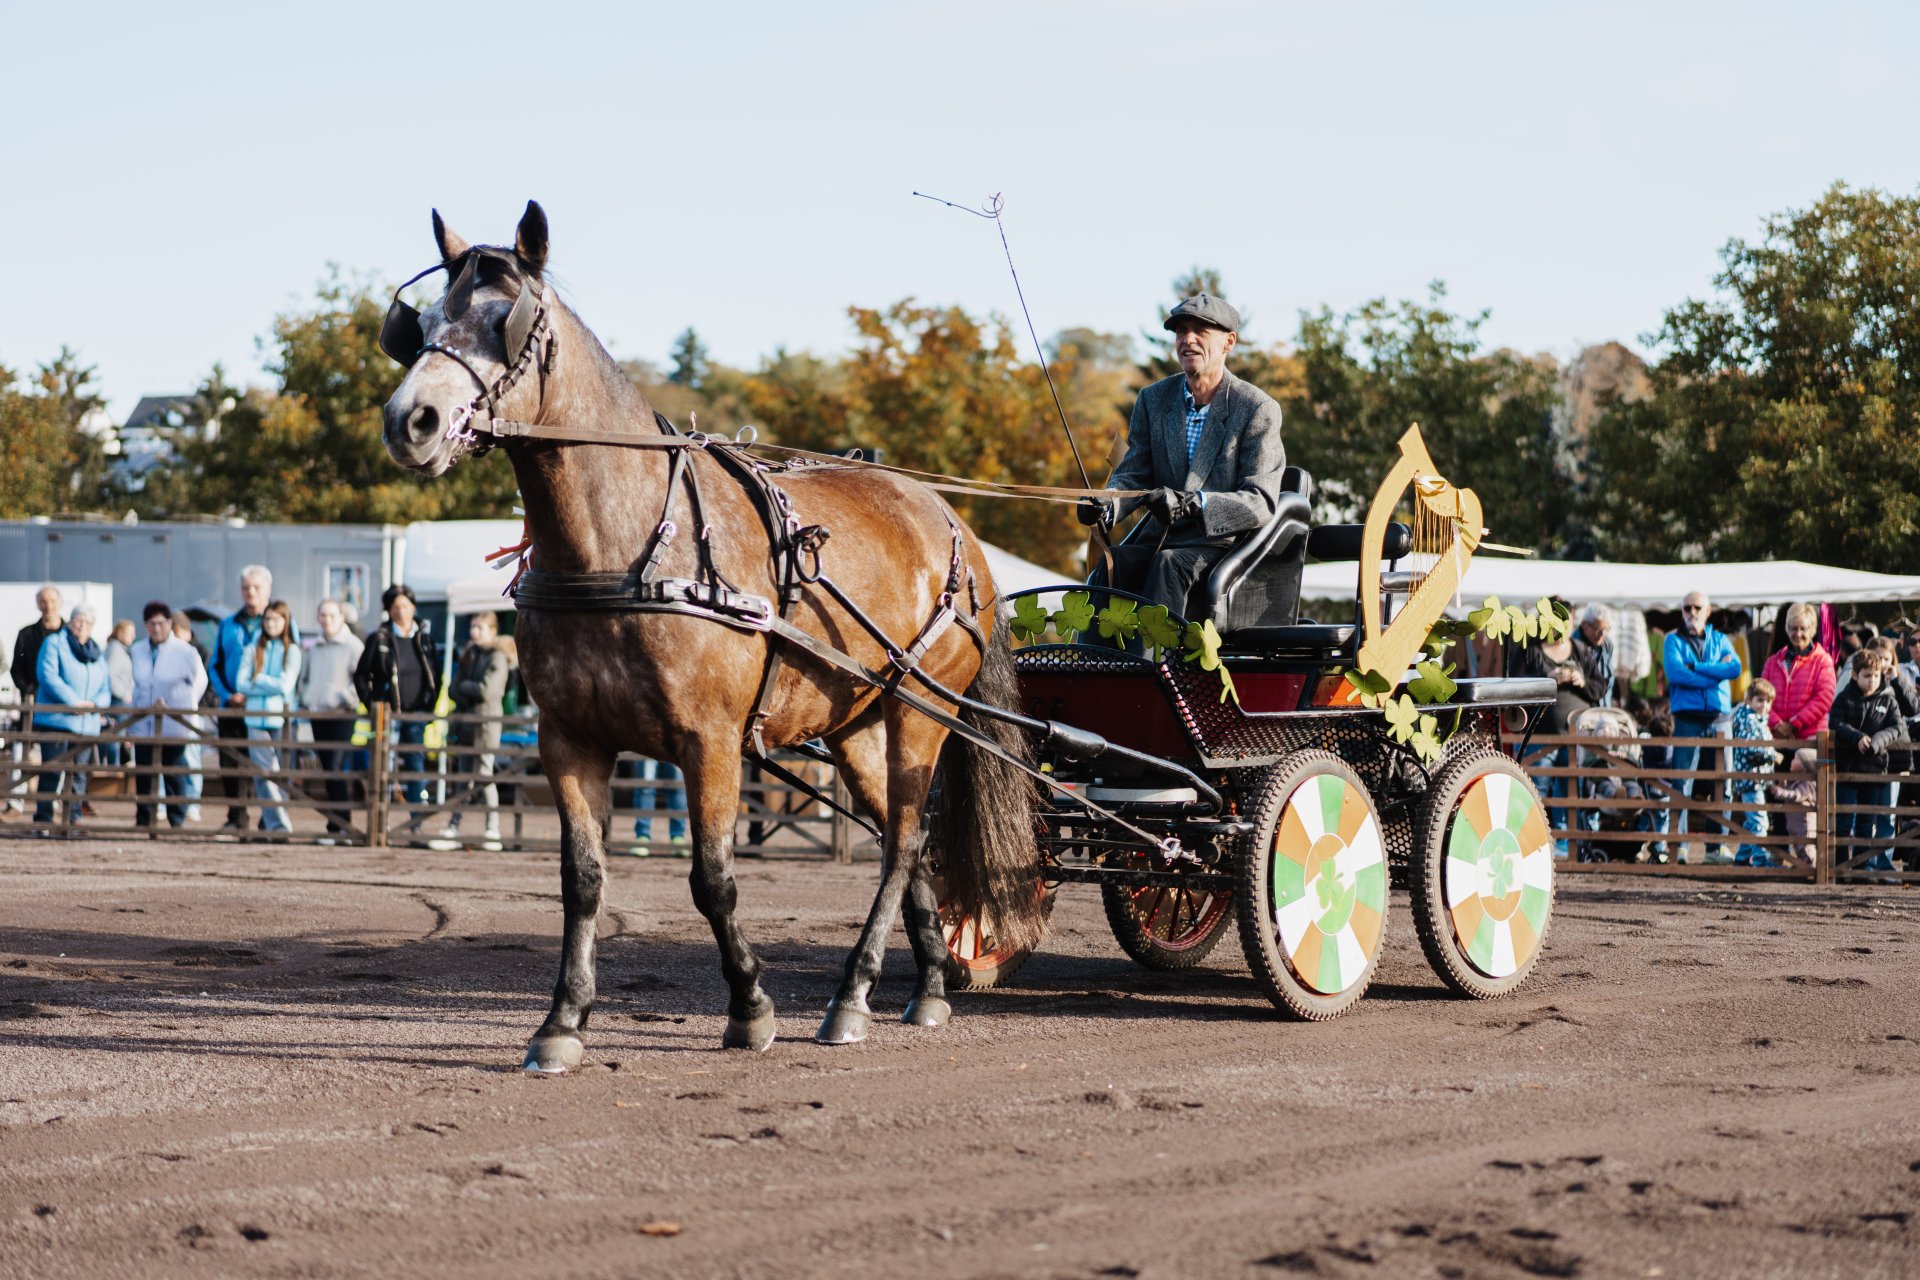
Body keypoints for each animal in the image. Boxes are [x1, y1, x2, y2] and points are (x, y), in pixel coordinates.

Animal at [379, 201, 1046, 1072]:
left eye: (505, 319)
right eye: (421, 323)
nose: (411, 421)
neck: (626, 547)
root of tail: (948, 521)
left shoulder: (711, 742)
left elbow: (712, 879)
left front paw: (751, 1008)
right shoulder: (569, 739)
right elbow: (582, 882)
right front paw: (562, 1022)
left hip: (919, 714)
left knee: (903, 840)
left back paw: (851, 995)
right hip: (856, 725)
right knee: (909, 838)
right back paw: (924, 984)